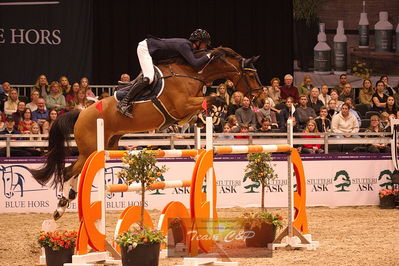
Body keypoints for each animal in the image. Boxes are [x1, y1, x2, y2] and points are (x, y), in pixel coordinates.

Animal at [29, 45, 264, 219]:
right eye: (251, 75)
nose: (261, 99)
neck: (192, 74)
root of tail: (80, 113)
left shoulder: (187, 108)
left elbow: (208, 104)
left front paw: (209, 116)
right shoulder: (182, 105)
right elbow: (214, 98)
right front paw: (214, 113)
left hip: (107, 145)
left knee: (76, 171)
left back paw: (68, 198)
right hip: (91, 149)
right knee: (69, 171)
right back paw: (60, 207)